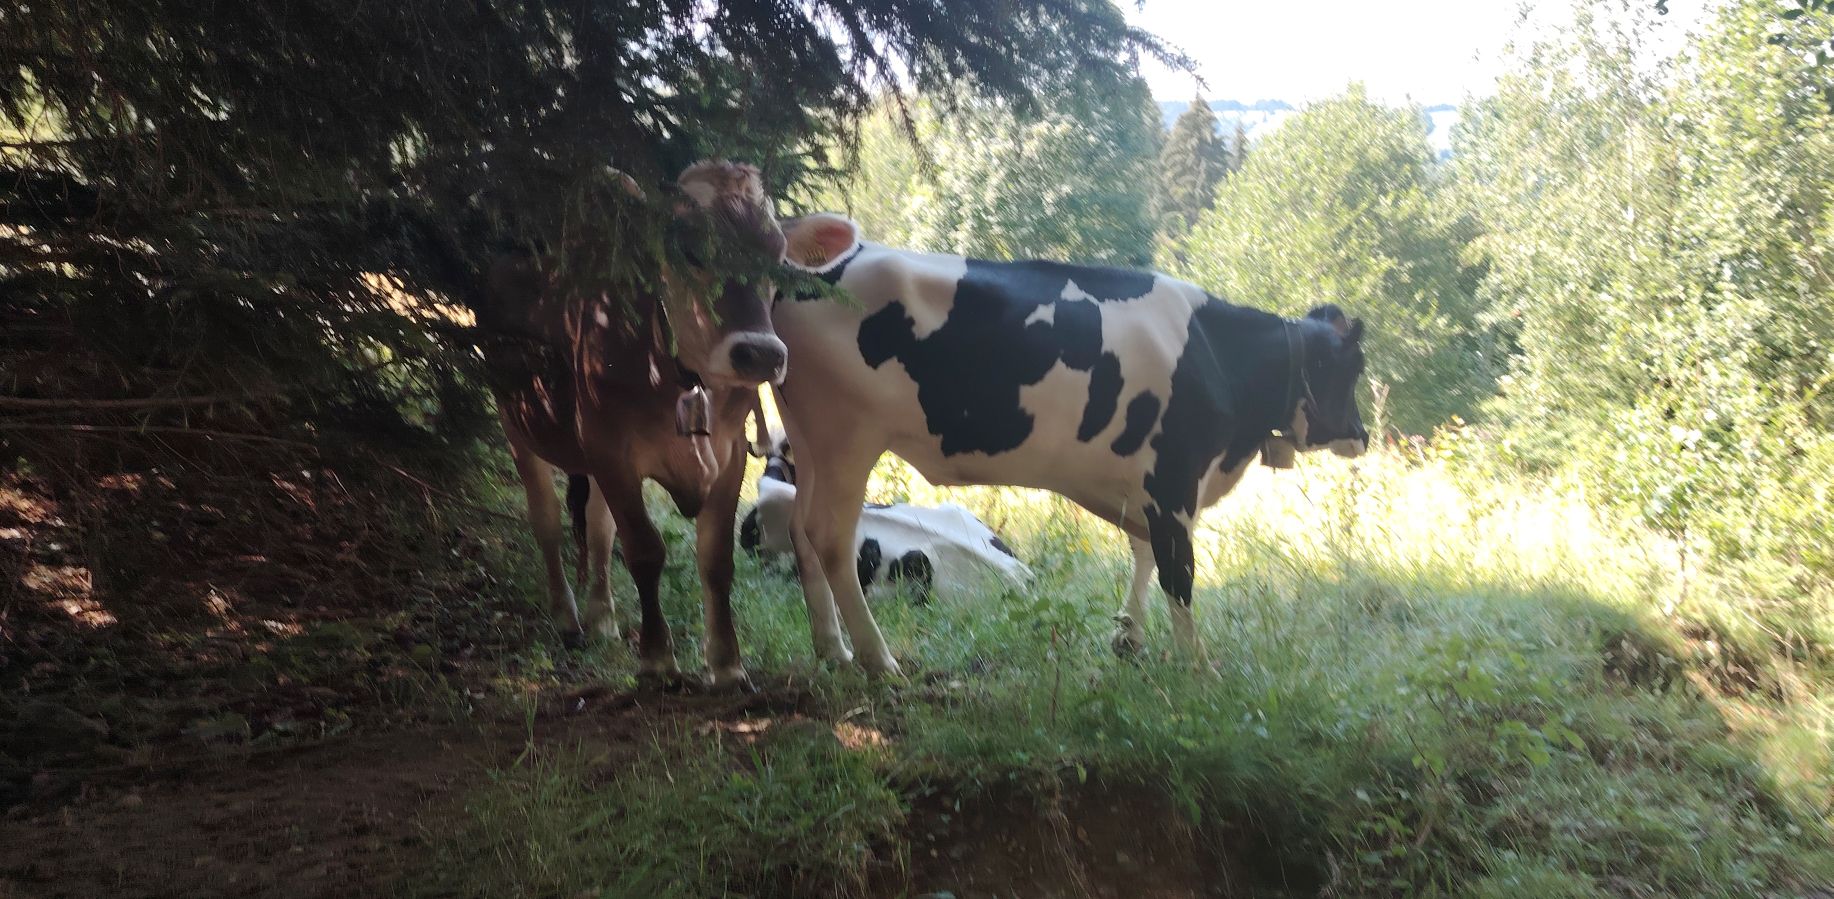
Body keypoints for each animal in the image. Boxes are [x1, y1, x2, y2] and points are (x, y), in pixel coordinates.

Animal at [488, 161, 788, 691]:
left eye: (779, 258)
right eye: (689, 249)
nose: (761, 354)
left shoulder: (731, 453)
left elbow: (716, 560)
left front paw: (727, 665)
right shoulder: (611, 447)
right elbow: (644, 551)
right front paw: (656, 661)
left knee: (596, 527)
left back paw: (602, 618)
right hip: (517, 421)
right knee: (546, 521)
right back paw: (567, 618)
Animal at [768, 214, 1369, 676]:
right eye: (1352, 368)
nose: (1362, 436)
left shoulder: (1141, 487)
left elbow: (1144, 552)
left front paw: (1128, 638)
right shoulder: (1173, 481)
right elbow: (1179, 573)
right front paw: (1198, 665)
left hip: (808, 437)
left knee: (800, 527)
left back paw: (832, 650)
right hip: (847, 436)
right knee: (831, 538)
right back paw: (878, 659)